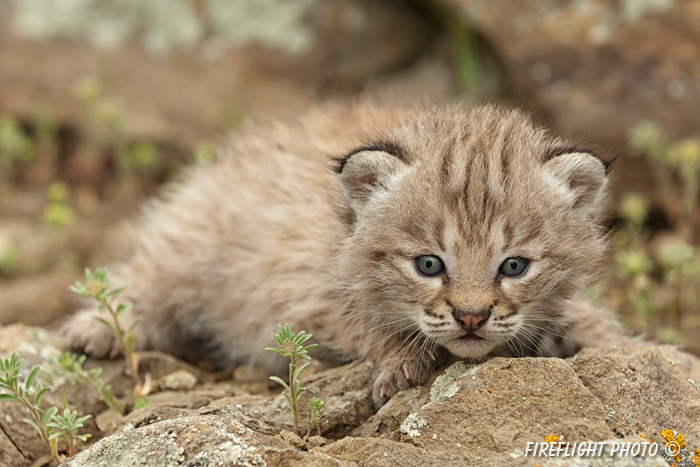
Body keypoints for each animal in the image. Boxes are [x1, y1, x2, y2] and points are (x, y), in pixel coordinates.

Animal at [64, 103, 624, 410]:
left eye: (513, 266)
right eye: (428, 265)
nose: (470, 317)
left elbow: (584, 318)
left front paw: (628, 350)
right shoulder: (301, 290)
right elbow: (364, 319)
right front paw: (402, 360)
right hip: (194, 240)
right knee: (146, 273)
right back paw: (98, 327)